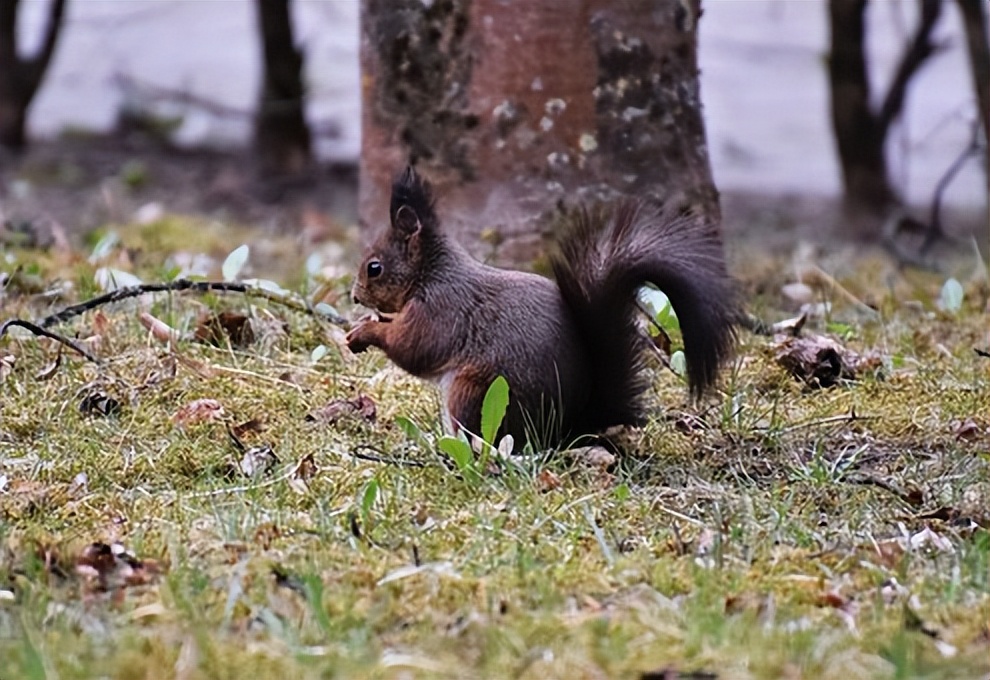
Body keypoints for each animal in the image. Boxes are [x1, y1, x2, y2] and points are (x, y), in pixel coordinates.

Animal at [344, 166, 740, 446]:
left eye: (374, 268)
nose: (355, 297)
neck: (431, 273)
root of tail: (567, 426)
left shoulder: (442, 308)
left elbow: (414, 348)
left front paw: (365, 331)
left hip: (475, 391)